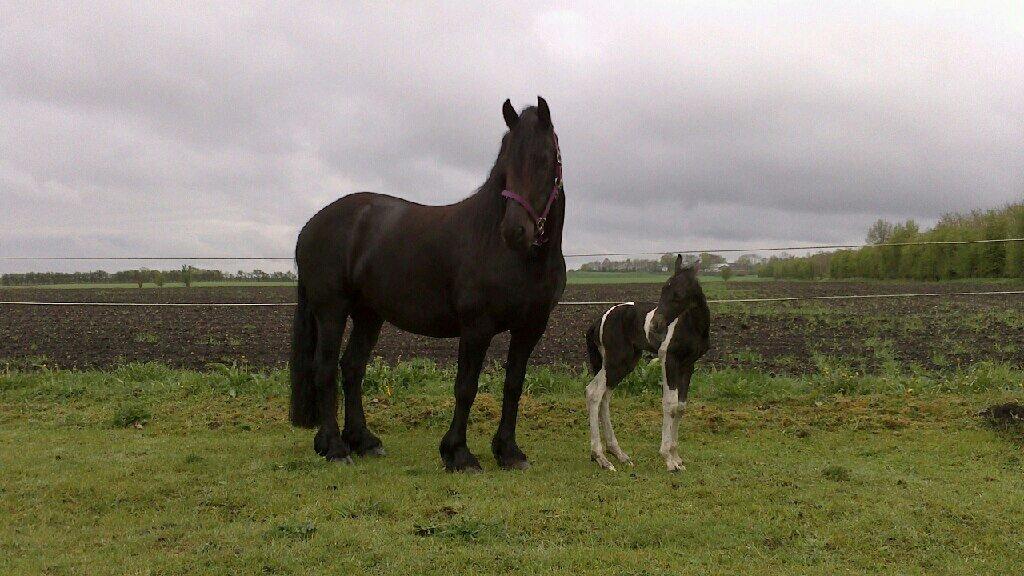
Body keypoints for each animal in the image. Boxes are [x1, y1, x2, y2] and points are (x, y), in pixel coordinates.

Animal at [290, 95, 569, 471]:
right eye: (506, 162)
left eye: (543, 159)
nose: (514, 232)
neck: (523, 260)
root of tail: (310, 227)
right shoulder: (477, 327)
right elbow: (466, 386)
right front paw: (459, 454)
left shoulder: (530, 327)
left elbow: (513, 384)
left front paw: (509, 452)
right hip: (332, 310)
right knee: (325, 369)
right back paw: (334, 447)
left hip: (368, 315)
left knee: (352, 368)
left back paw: (363, 441)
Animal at [589, 256, 708, 471]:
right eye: (663, 289)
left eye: (679, 294)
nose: (655, 326)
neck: (691, 326)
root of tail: (599, 320)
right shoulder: (669, 360)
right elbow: (670, 404)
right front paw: (668, 459)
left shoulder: (688, 365)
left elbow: (681, 406)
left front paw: (677, 457)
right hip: (616, 361)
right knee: (594, 394)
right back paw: (601, 457)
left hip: (622, 363)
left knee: (603, 395)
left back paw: (618, 454)